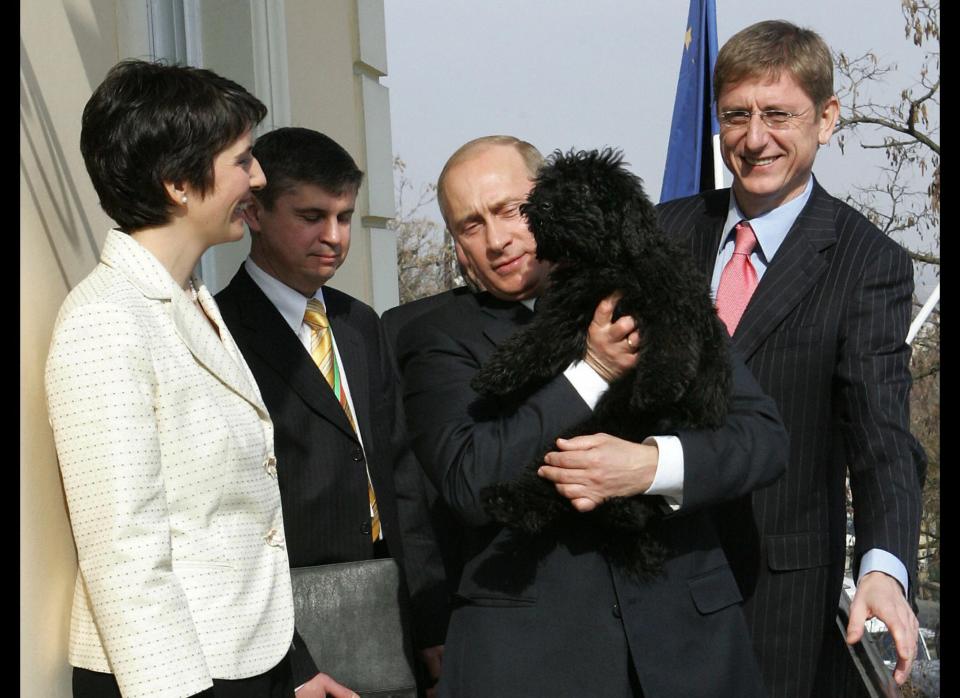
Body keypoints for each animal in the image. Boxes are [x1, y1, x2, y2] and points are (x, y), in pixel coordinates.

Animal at [476, 145, 732, 576]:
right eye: (549, 186)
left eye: (582, 189)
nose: (540, 205)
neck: (607, 262)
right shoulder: (570, 308)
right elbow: (537, 339)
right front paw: (497, 372)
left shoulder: (671, 305)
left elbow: (670, 349)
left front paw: (655, 387)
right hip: (572, 440)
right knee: (547, 494)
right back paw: (506, 501)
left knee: (641, 504)